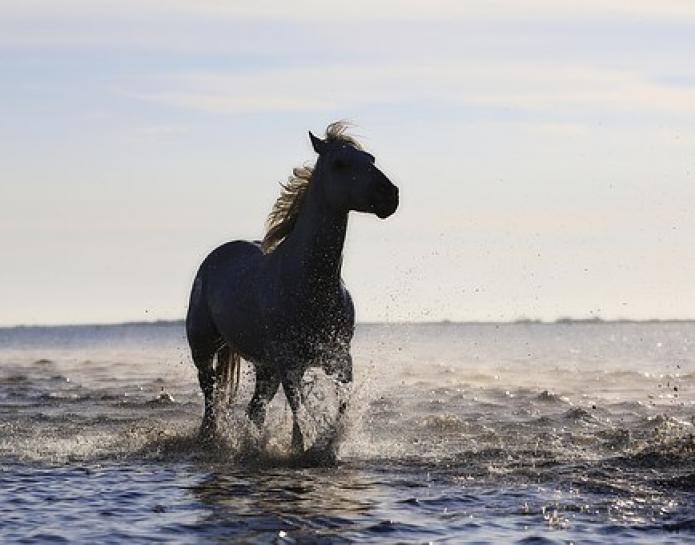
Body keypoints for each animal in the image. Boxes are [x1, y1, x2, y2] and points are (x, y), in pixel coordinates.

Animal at [185, 122, 399, 453]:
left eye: (371, 159)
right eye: (340, 163)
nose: (390, 195)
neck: (311, 283)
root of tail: (216, 256)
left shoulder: (339, 360)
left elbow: (339, 407)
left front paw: (328, 444)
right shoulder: (290, 363)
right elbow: (300, 411)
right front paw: (303, 447)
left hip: (265, 367)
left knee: (255, 409)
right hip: (204, 347)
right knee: (212, 397)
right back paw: (210, 437)